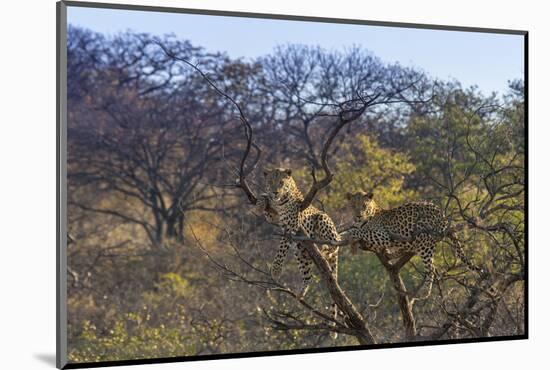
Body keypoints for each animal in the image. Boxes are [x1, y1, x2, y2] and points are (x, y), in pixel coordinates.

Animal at [342, 191, 480, 298]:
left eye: (364, 205)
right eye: (353, 206)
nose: (358, 216)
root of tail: (443, 215)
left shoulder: (383, 235)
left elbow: (362, 231)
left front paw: (347, 234)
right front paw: (351, 242)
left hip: (422, 235)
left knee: (431, 268)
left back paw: (425, 292)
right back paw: (391, 254)